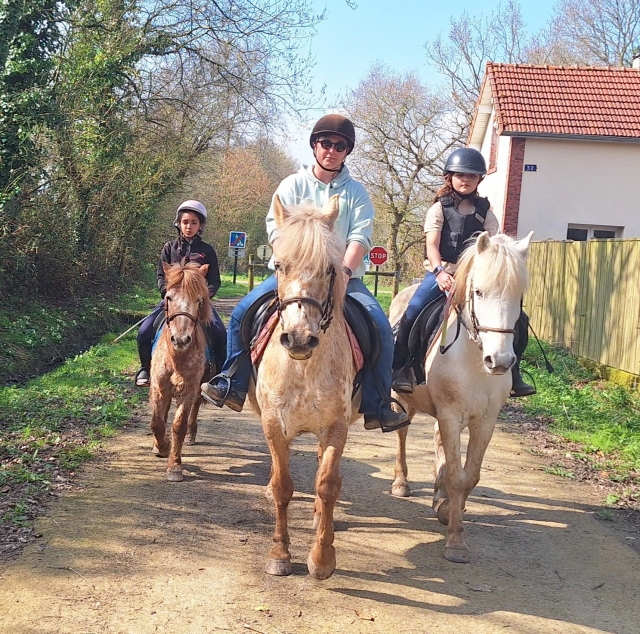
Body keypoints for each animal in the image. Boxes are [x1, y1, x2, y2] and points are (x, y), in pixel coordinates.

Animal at [149, 261, 214, 482]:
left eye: (199, 300)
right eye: (169, 297)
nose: (181, 339)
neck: (176, 358)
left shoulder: (189, 389)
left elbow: (179, 425)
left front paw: (175, 466)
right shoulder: (159, 387)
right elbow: (157, 422)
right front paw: (162, 447)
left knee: (195, 408)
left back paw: (191, 435)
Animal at [247, 194, 359, 580]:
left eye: (329, 269)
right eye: (280, 265)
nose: (298, 338)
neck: (304, 367)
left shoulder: (336, 427)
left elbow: (326, 486)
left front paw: (322, 558)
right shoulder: (273, 424)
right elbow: (284, 486)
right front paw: (280, 555)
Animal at [389, 231, 533, 563]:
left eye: (518, 294)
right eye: (479, 292)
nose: (500, 361)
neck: (473, 358)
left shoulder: (485, 421)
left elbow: (471, 475)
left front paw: (447, 511)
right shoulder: (451, 415)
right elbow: (457, 475)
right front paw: (455, 542)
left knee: (437, 442)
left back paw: (438, 494)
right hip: (403, 399)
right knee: (402, 434)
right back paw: (402, 483)